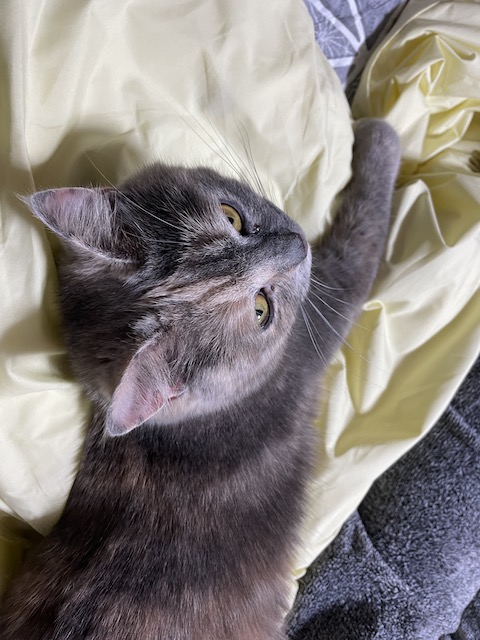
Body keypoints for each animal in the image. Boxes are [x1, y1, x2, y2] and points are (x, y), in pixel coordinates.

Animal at [0, 118, 400, 640]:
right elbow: (360, 241)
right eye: (261, 309)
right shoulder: (317, 323)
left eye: (232, 217)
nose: (298, 244)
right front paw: (381, 134)